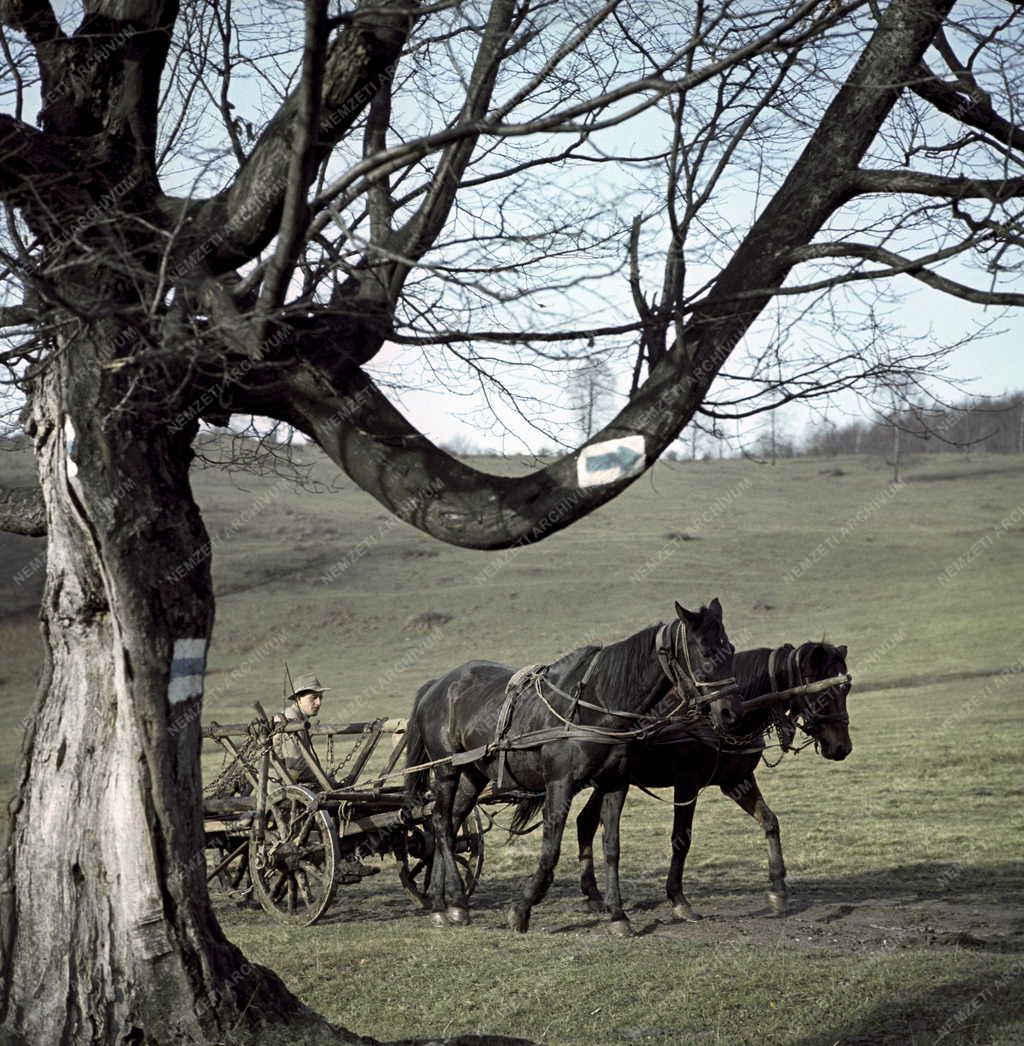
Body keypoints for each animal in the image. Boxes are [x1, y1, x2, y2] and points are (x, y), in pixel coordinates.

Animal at [405, 602, 736, 937]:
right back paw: (455, 902)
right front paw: (522, 909)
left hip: (473, 774)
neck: (598, 703)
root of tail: (437, 685)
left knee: (448, 823)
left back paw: (442, 903)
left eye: (731, 649)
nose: (728, 713)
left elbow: (611, 847)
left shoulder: (615, 783)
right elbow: (550, 850)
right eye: (705, 652)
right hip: (446, 770)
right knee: (441, 823)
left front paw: (618, 916)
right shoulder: (559, 784)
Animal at [573, 640, 853, 920]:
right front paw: (678, 898)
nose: (842, 747)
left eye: (846, 688)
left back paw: (593, 895)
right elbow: (681, 839)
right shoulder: (687, 784)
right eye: (821, 687)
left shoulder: (737, 781)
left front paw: (778, 889)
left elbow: (770, 822)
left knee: (585, 821)